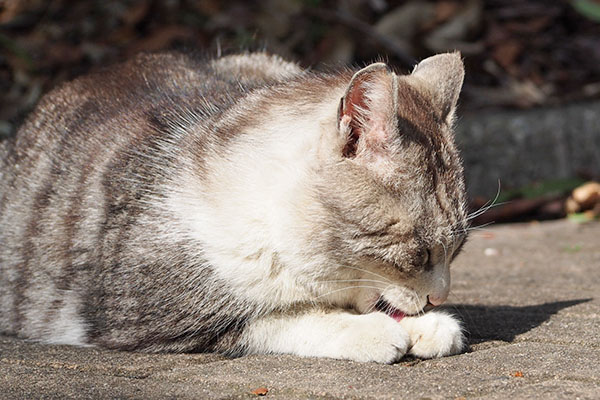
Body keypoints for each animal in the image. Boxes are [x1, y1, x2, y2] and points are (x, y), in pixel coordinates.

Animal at [0, 50, 468, 362]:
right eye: (419, 252)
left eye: (458, 249)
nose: (440, 296)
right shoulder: (142, 314)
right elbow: (280, 318)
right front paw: (371, 331)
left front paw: (425, 325)